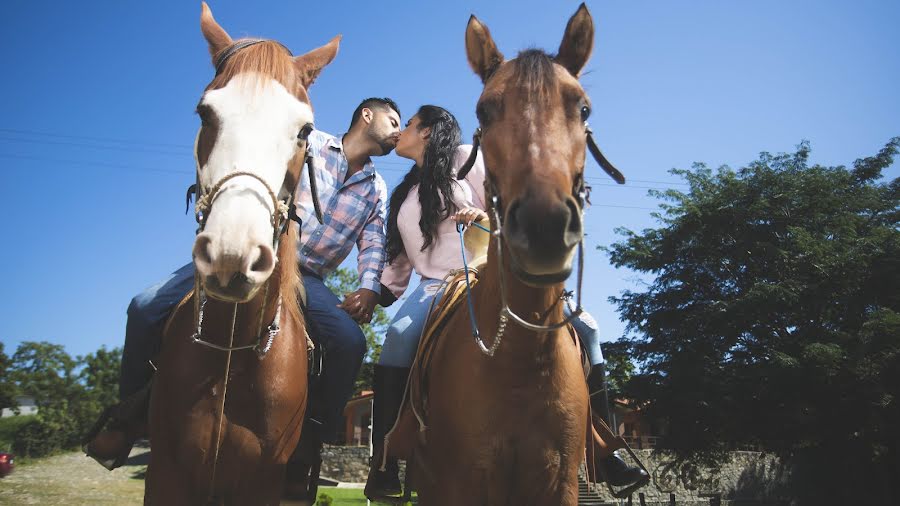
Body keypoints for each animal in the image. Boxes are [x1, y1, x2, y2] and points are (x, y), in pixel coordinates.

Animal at [144, 2, 342, 502]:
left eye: (304, 129)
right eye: (204, 113)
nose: (232, 254)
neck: (231, 351)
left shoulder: (264, 481)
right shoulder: (165, 473)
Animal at [412, 4, 624, 506]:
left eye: (583, 108)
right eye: (484, 110)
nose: (543, 226)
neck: (519, 364)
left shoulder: (560, 481)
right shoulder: (463, 482)